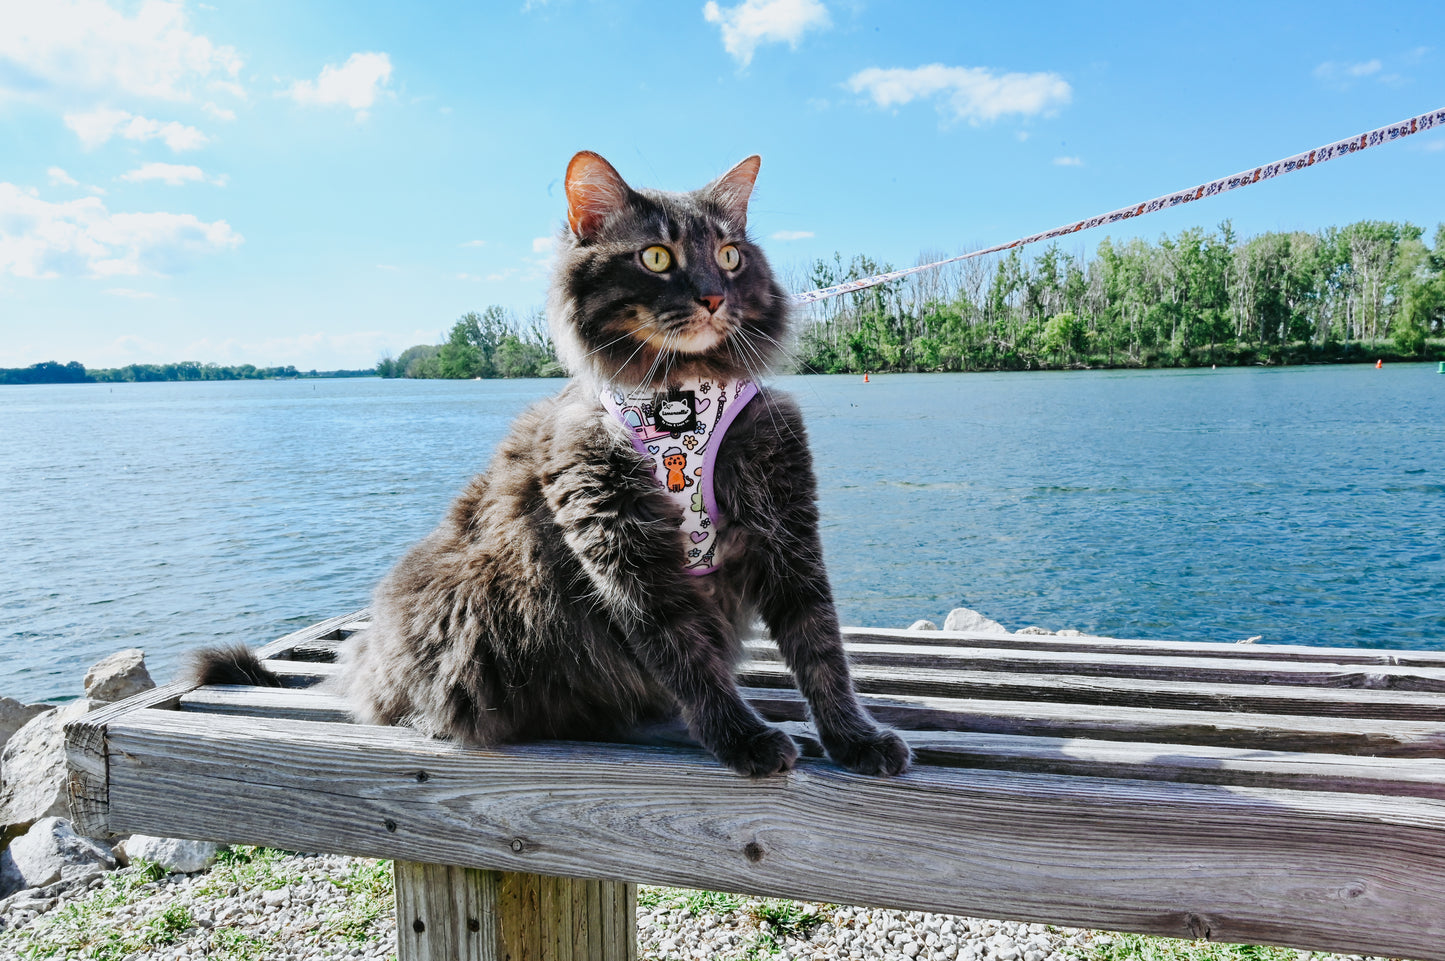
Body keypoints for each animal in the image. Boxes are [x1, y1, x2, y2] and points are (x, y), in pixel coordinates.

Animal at [196, 151, 907, 780]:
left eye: (731, 256)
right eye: (657, 257)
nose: (711, 297)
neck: (680, 396)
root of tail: (365, 663)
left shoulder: (785, 523)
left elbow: (821, 649)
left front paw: (854, 738)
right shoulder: (621, 544)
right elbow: (687, 656)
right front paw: (743, 739)